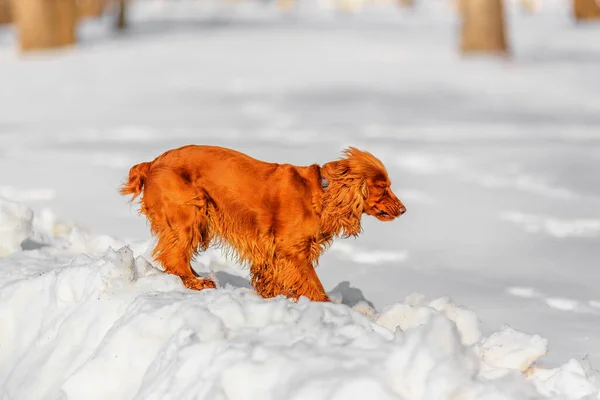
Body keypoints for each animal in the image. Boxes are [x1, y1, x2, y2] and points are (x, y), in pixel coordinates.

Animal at [119, 145, 406, 302]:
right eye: (382, 187)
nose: (403, 209)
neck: (322, 193)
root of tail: (152, 163)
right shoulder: (292, 251)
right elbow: (313, 284)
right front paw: (325, 305)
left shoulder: (272, 250)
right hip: (189, 213)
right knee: (174, 257)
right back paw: (196, 282)